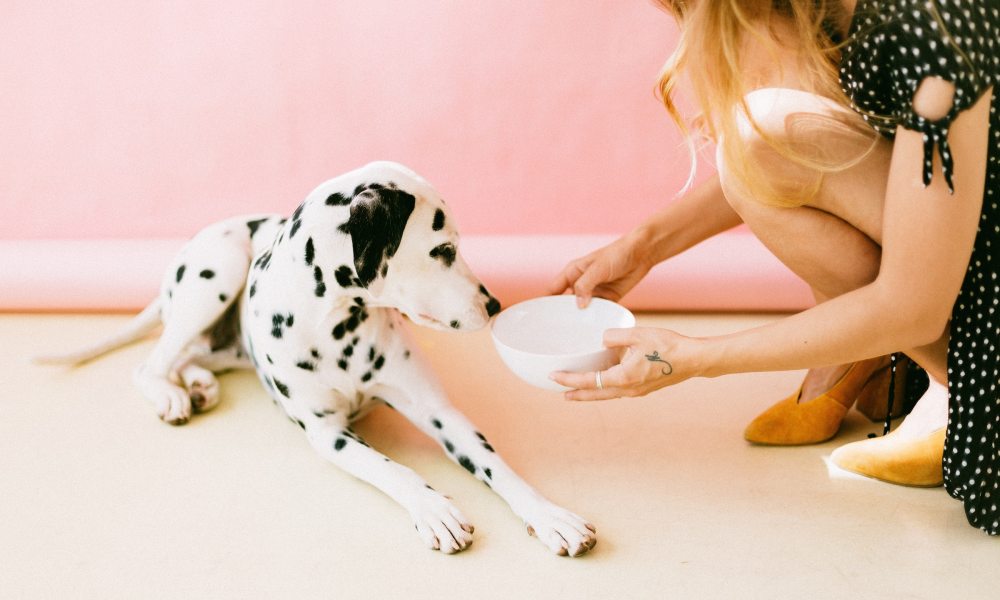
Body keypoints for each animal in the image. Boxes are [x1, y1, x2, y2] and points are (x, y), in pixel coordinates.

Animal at [41, 162, 592, 556]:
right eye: (442, 249)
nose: (494, 304)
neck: (337, 327)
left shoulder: (441, 413)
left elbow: (498, 466)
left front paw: (550, 515)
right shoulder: (329, 434)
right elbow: (393, 470)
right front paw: (434, 508)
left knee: (187, 356)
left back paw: (197, 384)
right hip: (216, 273)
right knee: (150, 363)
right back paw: (172, 396)